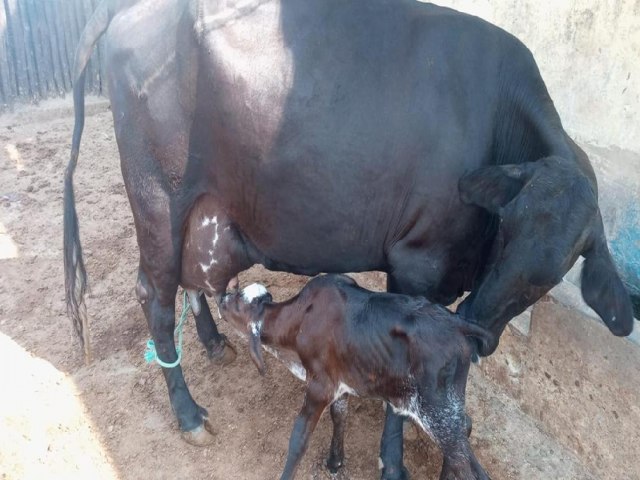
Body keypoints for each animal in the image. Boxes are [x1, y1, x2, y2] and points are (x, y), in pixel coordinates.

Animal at [219, 274, 490, 480]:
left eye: (236, 303)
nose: (221, 297)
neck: (300, 320)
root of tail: (457, 323)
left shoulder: (319, 385)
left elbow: (298, 440)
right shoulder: (341, 383)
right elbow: (339, 416)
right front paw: (335, 461)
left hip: (436, 412)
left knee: (469, 466)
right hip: (442, 409)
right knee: (466, 426)